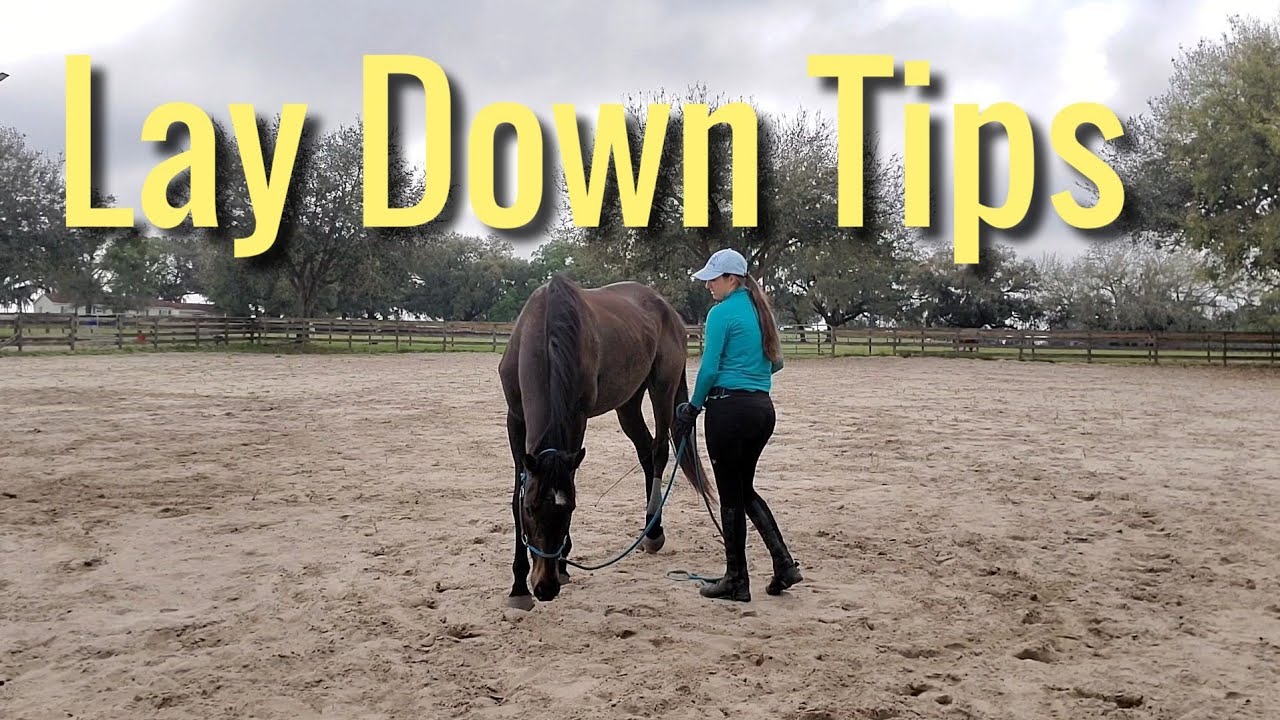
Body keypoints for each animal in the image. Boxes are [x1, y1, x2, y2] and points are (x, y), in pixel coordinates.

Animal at [498, 273, 716, 609]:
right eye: (531, 509)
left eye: (569, 510)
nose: (546, 588)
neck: (546, 330)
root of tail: (667, 308)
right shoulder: (515, 419)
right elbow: (514, 496)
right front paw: (518, 586)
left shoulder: (577, 419)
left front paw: (563, 565)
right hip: (628, 403)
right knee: (645, 450)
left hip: (662, 388)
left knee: (658, 452)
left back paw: (654, 532)